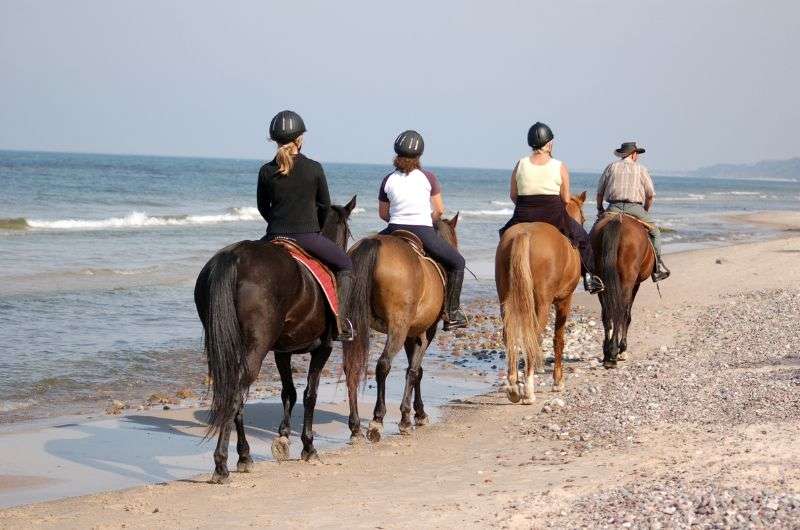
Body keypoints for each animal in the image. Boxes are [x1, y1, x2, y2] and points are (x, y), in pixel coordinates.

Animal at [194, 195, 356, 482]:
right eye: (346, 232)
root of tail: (234, 257)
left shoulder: (282, 351)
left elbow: (288, 391)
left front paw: (283, 437)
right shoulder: (322, 348)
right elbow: (310, 394)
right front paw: (307, 446)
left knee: (236, 396)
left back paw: (244, 456)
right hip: (257, 348)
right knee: (235, 396)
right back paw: (221, 464)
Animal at [342, 214, 462, 442]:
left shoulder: (411, 334)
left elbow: (416, 369)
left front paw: (418, 413)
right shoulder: (425, 332)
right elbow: (414, 371)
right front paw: (409, 416)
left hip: (352, 326)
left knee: (351, 367)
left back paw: (355, 427)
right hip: (397, 327)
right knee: (383, 364)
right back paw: (377, 420)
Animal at [494, 192, 588, 402]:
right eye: (584, 219)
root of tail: (524, 234)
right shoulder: (564, 301)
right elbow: (558, 339)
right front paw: (558, 382)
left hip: (505, 299)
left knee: (509, 335)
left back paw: (513, 387)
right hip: (542, 304)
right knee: (534, 337)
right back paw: (528, 390)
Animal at [592, 212, 656, 366]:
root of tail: (617, 218)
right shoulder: (635, 284)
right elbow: (627, 313)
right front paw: (623, 349)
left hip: (601, 282)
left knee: (607, 313)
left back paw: (607, 352)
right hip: (628, 280)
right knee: (621, 311)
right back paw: (615, 351)